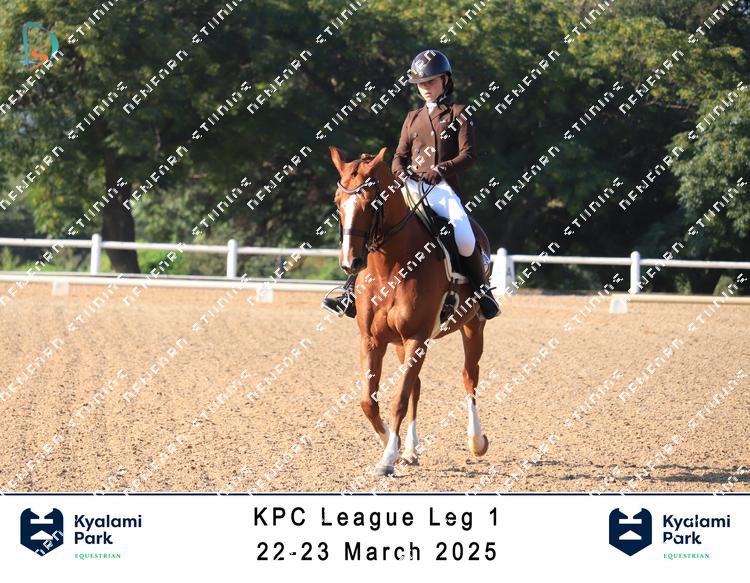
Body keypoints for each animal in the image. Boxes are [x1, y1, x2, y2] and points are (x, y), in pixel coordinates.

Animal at [329, 145, 492, 476]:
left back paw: (476, 441)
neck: (390, 268)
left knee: (469, 376)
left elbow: (398, 400)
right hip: (402, 344)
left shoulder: (417, 337)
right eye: (338, 202)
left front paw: (388, 457)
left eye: (371, 202)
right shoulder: (373, 340)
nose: (350, 262)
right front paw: (392, 447)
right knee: (417, 385)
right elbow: (369, 401)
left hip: (472, 326)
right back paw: (411, 449)